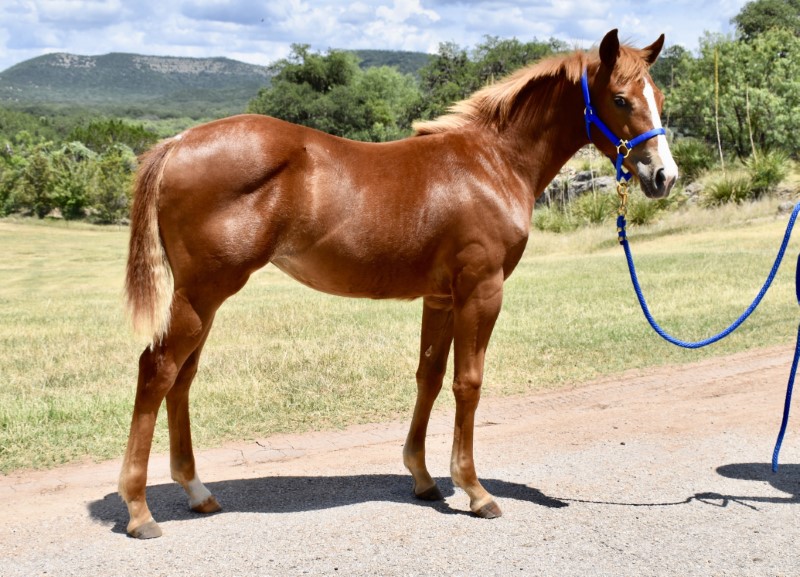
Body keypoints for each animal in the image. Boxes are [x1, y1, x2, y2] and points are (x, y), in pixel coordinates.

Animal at [120, 29, 676, 536]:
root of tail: (177, 143)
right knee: (157, 370)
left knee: (182, 378)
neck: (492, 162)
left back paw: (197, 492)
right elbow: (467, 383)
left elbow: (429, 377)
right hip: (203, 293)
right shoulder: (481, 290)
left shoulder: (441, 297)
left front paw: (424, 478)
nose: (663, 176)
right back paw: (140, 511)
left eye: (660, 98)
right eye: (620, 99)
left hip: (204, 299)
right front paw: (475, 491)